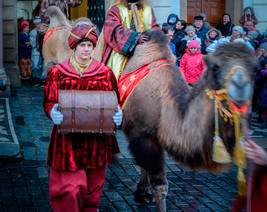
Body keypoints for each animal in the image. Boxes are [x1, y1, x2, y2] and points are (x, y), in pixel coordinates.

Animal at [42, 5, 260, 211]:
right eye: (215, 67)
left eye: (255, 68)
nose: (240, 85)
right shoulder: (142, 134)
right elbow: (160, 185)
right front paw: (147, 193)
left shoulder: (155, 133)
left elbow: (146, 169)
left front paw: (142, 192)